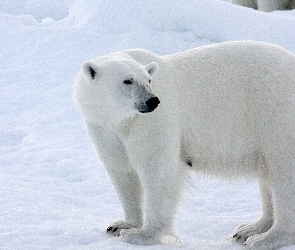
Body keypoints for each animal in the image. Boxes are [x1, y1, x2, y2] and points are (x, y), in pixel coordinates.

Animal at [74, 41, 295, 250]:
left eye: (148, 80)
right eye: (127, 80)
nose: (152, 101)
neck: (122, 120)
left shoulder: (155, 122)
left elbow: (157, 170)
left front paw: (141, 235)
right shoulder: (104, 128)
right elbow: (121, 171)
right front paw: (122, 224)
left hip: (276, 113)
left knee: (283, 173)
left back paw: (267, 238)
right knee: (267, 174)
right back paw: (249, 229)